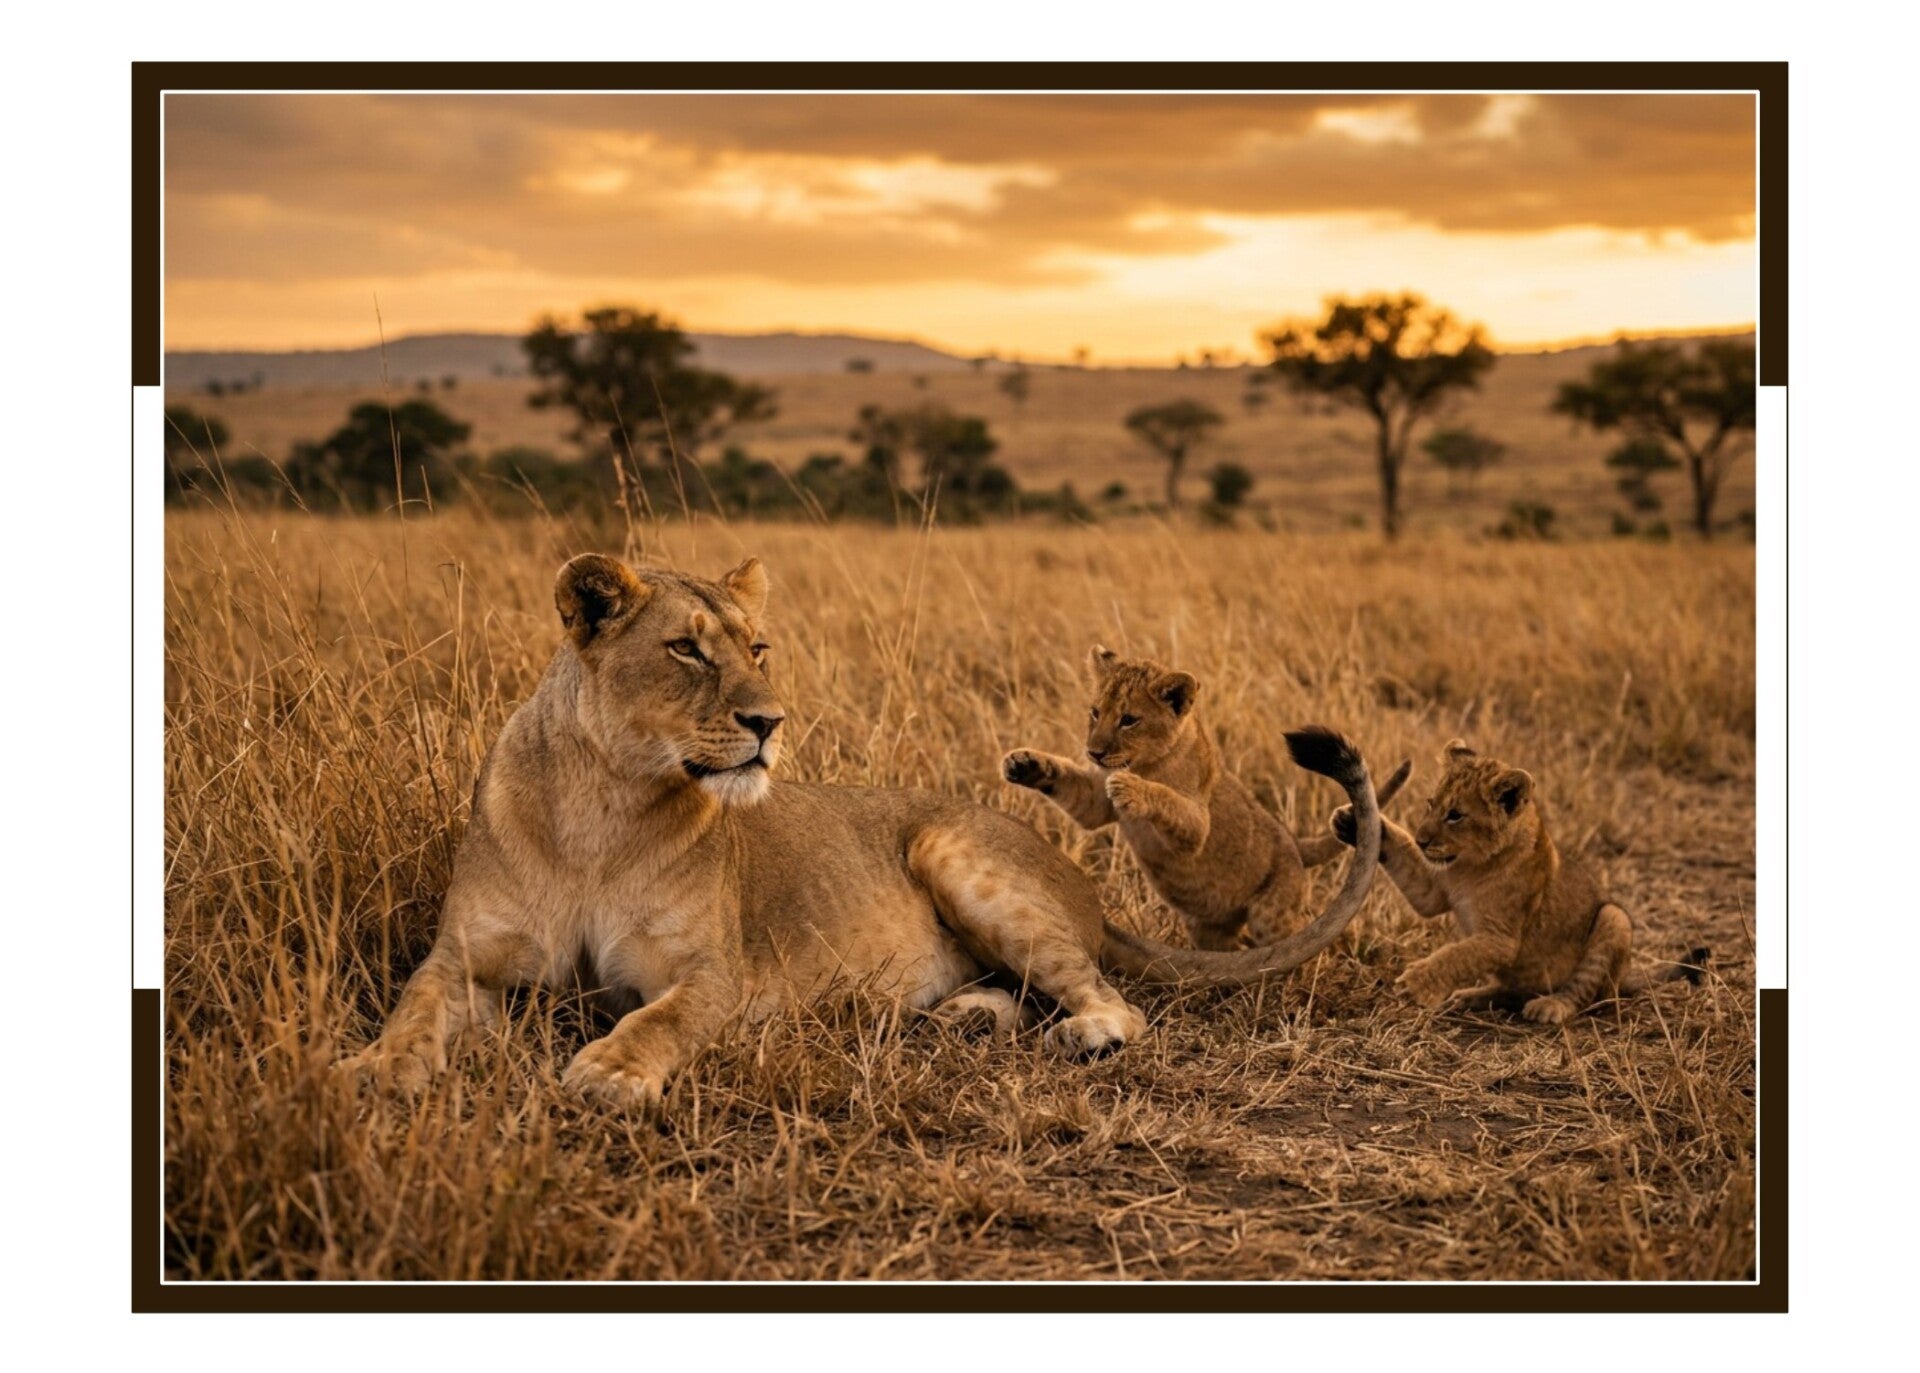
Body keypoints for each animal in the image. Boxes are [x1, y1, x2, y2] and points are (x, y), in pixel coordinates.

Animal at [1002, 648, 1410, 951]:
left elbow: (1168, 800)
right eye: (1095, 712)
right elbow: (1070, 783)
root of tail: (1295, 844)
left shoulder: (1197, 826)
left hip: (1271, 912)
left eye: (1129, 719)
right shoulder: (1095, 804)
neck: (1147, 761)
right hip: (1210, 928)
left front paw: (1132, 788)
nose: (1094, 752)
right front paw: (1023, 763)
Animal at [1328, 739, 1709, 1024]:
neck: (1468, 867)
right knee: (1513, 990)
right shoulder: (1433, 891)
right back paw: (1470, 996)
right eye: (1430, 804)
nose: (1422, 841)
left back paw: (1550, 1006)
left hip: (1613, 919)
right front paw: (1351, 821)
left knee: (1586, 993)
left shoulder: (1500, 939)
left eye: (1455, 815)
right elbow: (1407, 864)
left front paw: (1415, 983)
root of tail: (1625, 976)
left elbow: (1457, 955)